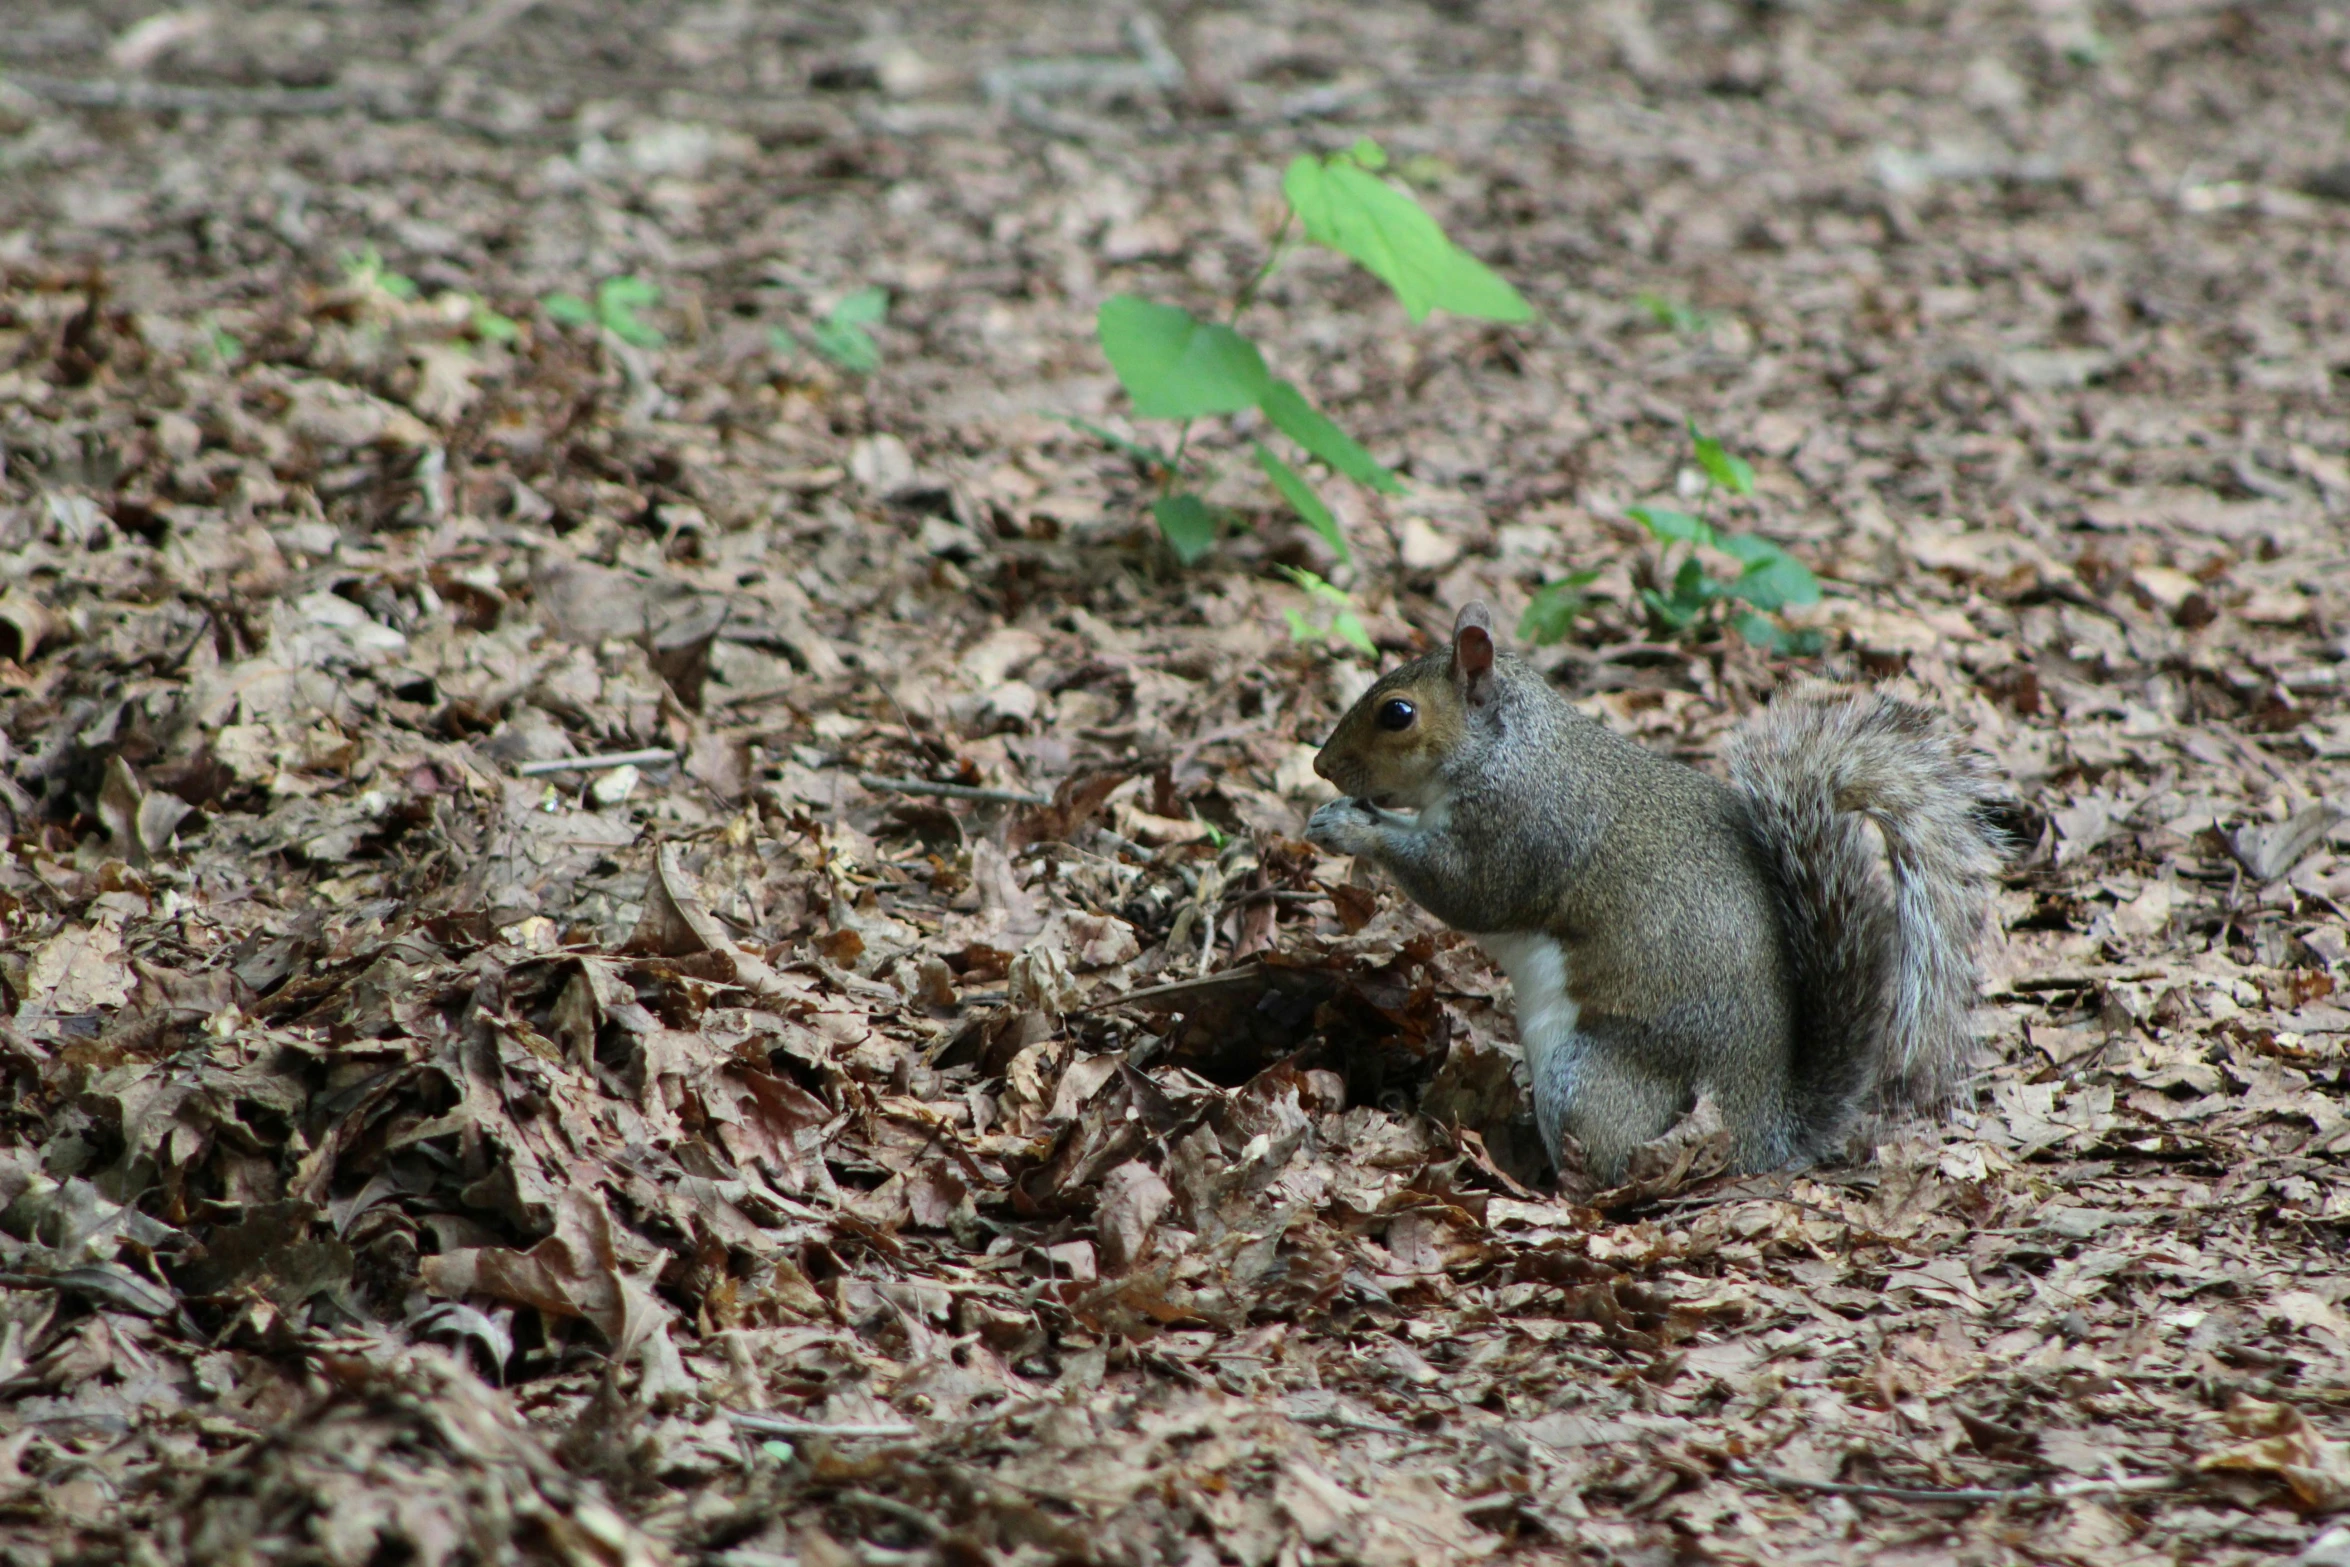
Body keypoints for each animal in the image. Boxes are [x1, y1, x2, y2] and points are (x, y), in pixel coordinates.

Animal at [1306, 606, 2002, 1184]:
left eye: (1397, 713)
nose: (1321, 766)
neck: (1504, 749)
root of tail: (1763, 1134)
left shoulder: (1522, 830)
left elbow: (1463, 891)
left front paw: (1352, 827)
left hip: (1587, 1078)